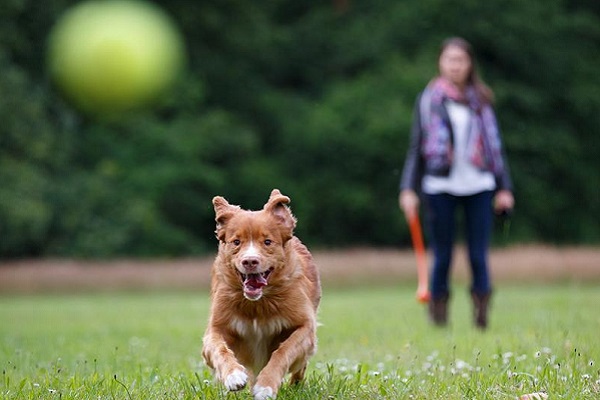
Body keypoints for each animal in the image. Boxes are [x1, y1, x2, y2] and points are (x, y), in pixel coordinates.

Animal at [202, 189, 322, 398]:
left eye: (267, 242)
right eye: (236, 242)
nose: (250, 261)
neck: (258, 304)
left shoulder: (305, 326)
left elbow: (283, 351)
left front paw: (266, 386)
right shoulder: (216, 327)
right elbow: (219, 349)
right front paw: (234, 375)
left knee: (300, 366)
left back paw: (295, 385)